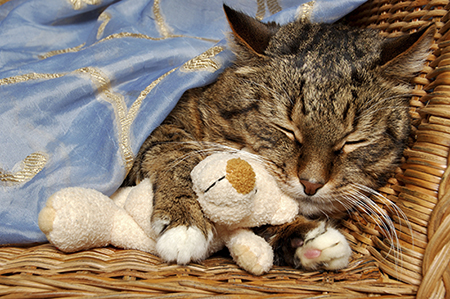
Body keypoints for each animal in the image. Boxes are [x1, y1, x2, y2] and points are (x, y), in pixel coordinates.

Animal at [121, 4, 434, 272]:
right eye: (286, 128)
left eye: (353, 141)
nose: (311, 183)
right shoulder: (163, 128)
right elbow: (177, 153)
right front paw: (186, 223)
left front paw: (306, 240)